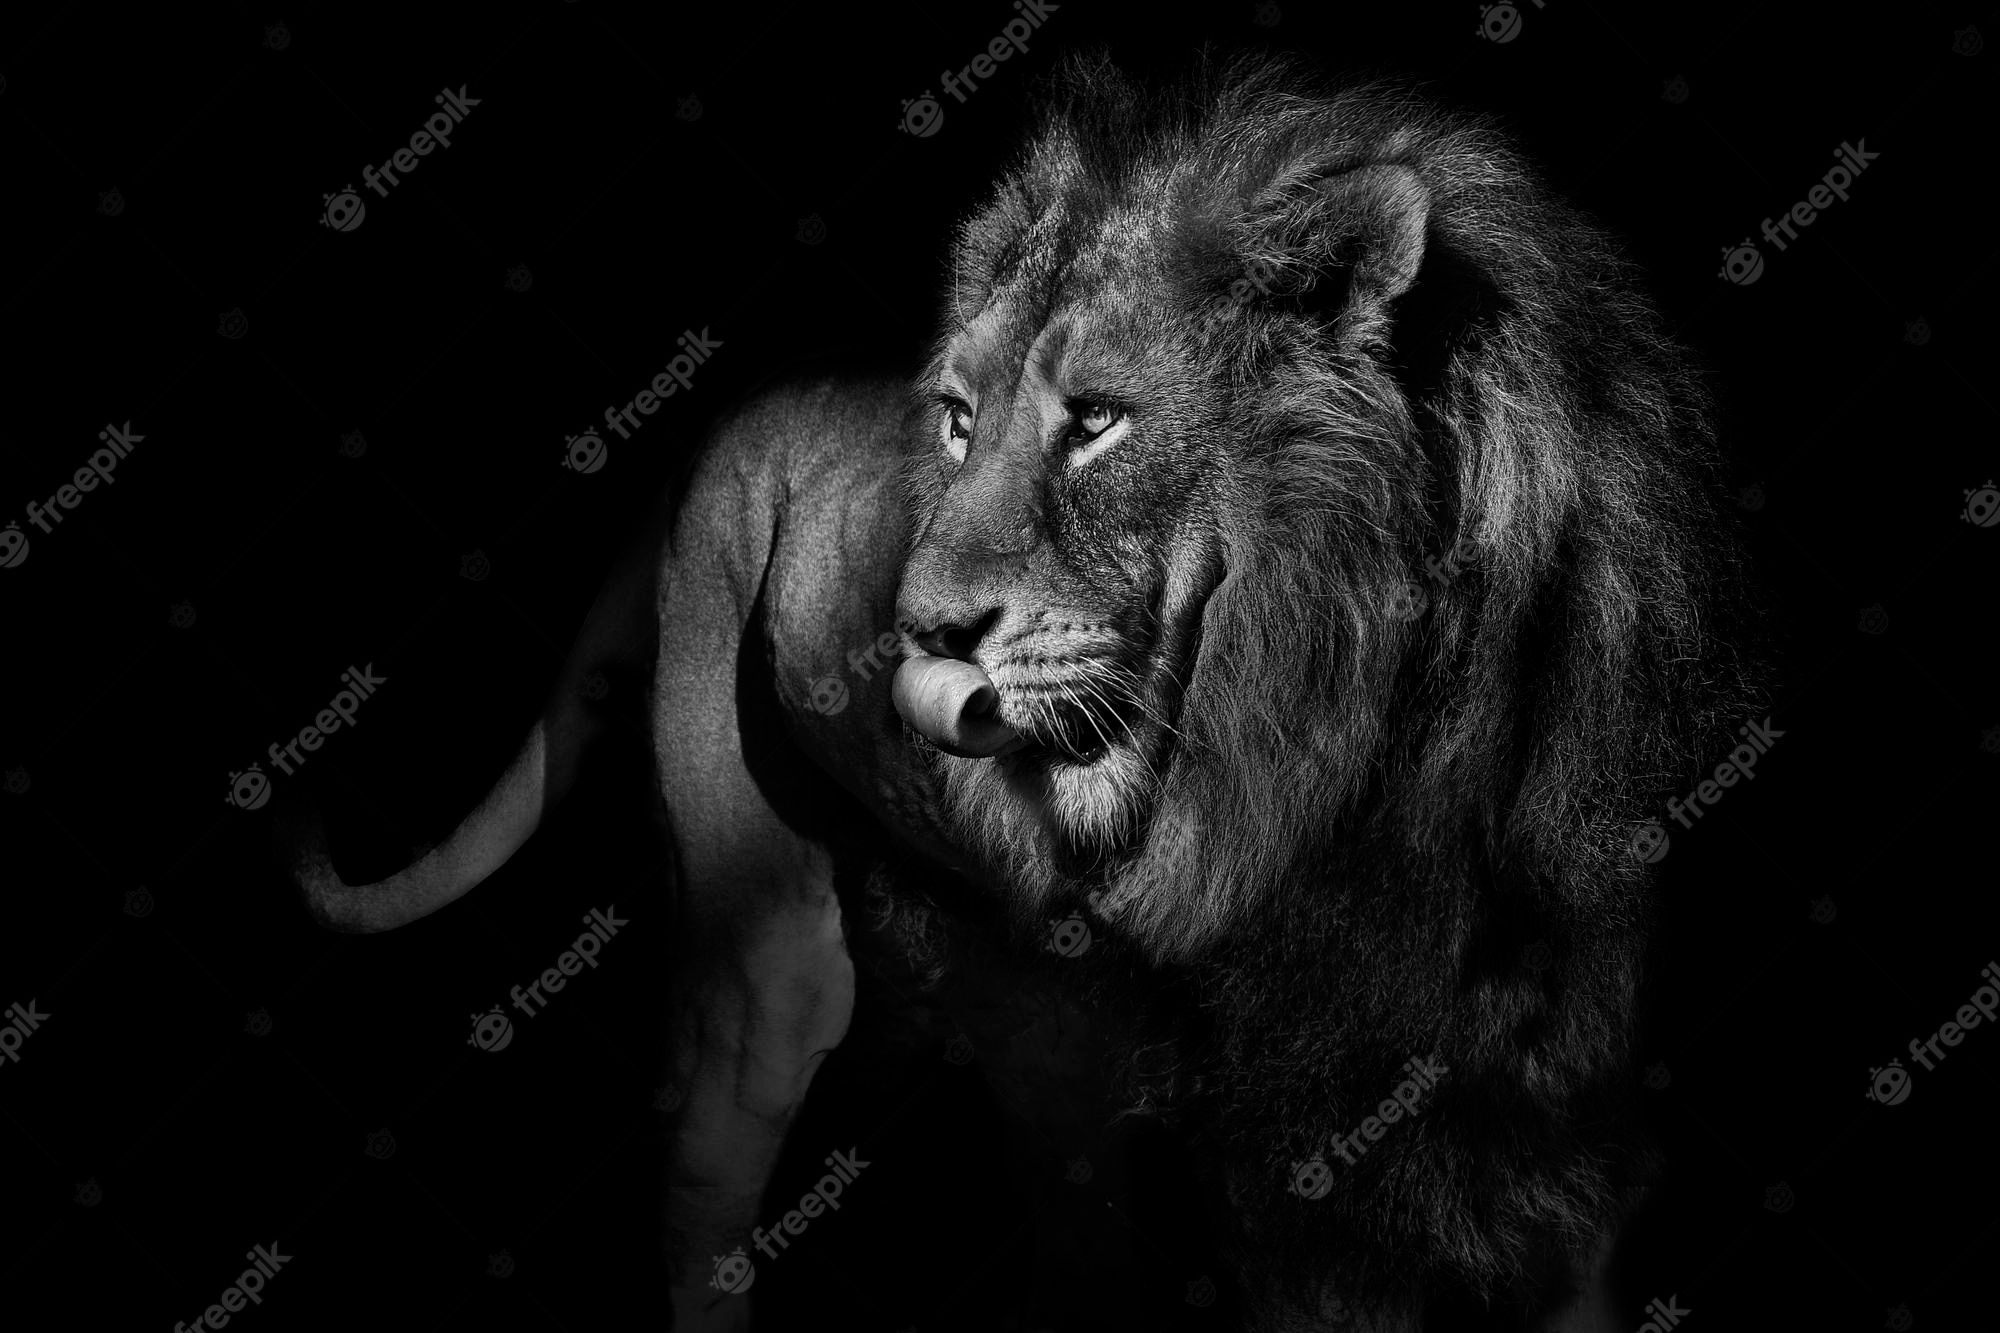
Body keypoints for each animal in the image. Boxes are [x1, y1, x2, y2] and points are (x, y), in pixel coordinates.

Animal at [284, 52, 1764, 1331]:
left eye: (1095, 420)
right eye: (956, 420)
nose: (917, 633)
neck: (1380, 764)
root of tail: (727, 411)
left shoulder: (1561, 1130)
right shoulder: (1269, 1163)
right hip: (780, 947)